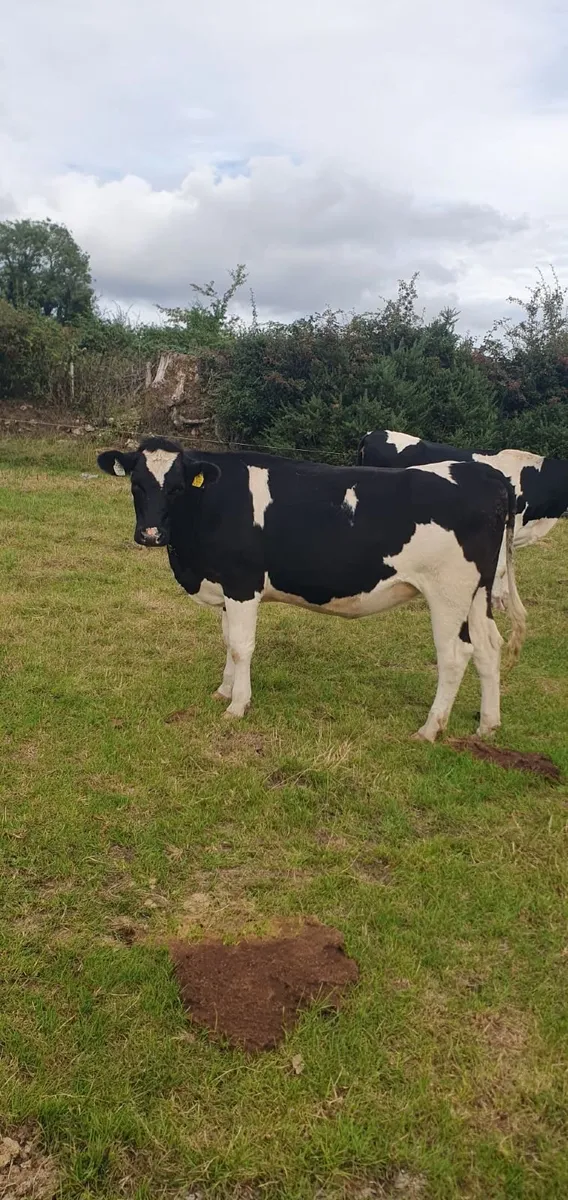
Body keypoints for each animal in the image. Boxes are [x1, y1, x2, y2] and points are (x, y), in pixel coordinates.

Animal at [98, 437, 526, 743]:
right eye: (136, 485)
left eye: (176, 488)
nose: (151, 534)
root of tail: (487, 475)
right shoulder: (226, 585)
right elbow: (227, 640)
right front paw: (223, 690)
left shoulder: (242, 583)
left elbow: (241, 646)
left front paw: (237, 705)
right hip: (478, 592)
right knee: (488, 647)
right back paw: (488, 725)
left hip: (448, 592)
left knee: (454, 655)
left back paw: (430, 728)